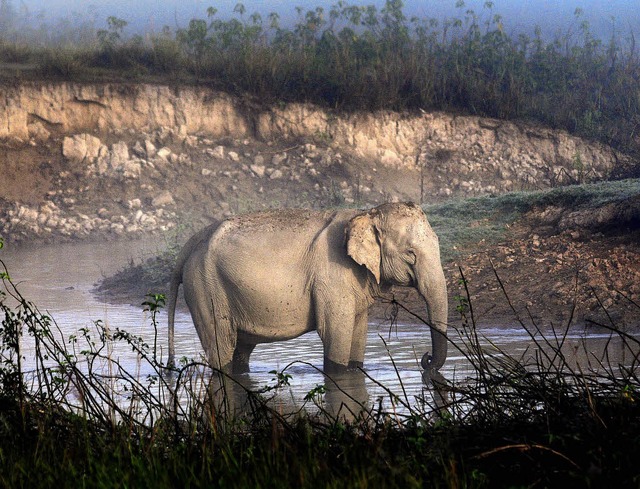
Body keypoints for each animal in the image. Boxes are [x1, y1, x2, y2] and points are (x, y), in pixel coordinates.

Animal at [168, 201, 448, 374]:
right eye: (410, 254)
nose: (425, 359)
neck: (365, 213)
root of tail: (191, 243)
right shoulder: (332, 278)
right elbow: (335, 335)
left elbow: (358, 334)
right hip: (205, 288)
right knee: (221, 349)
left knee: (241, 351)